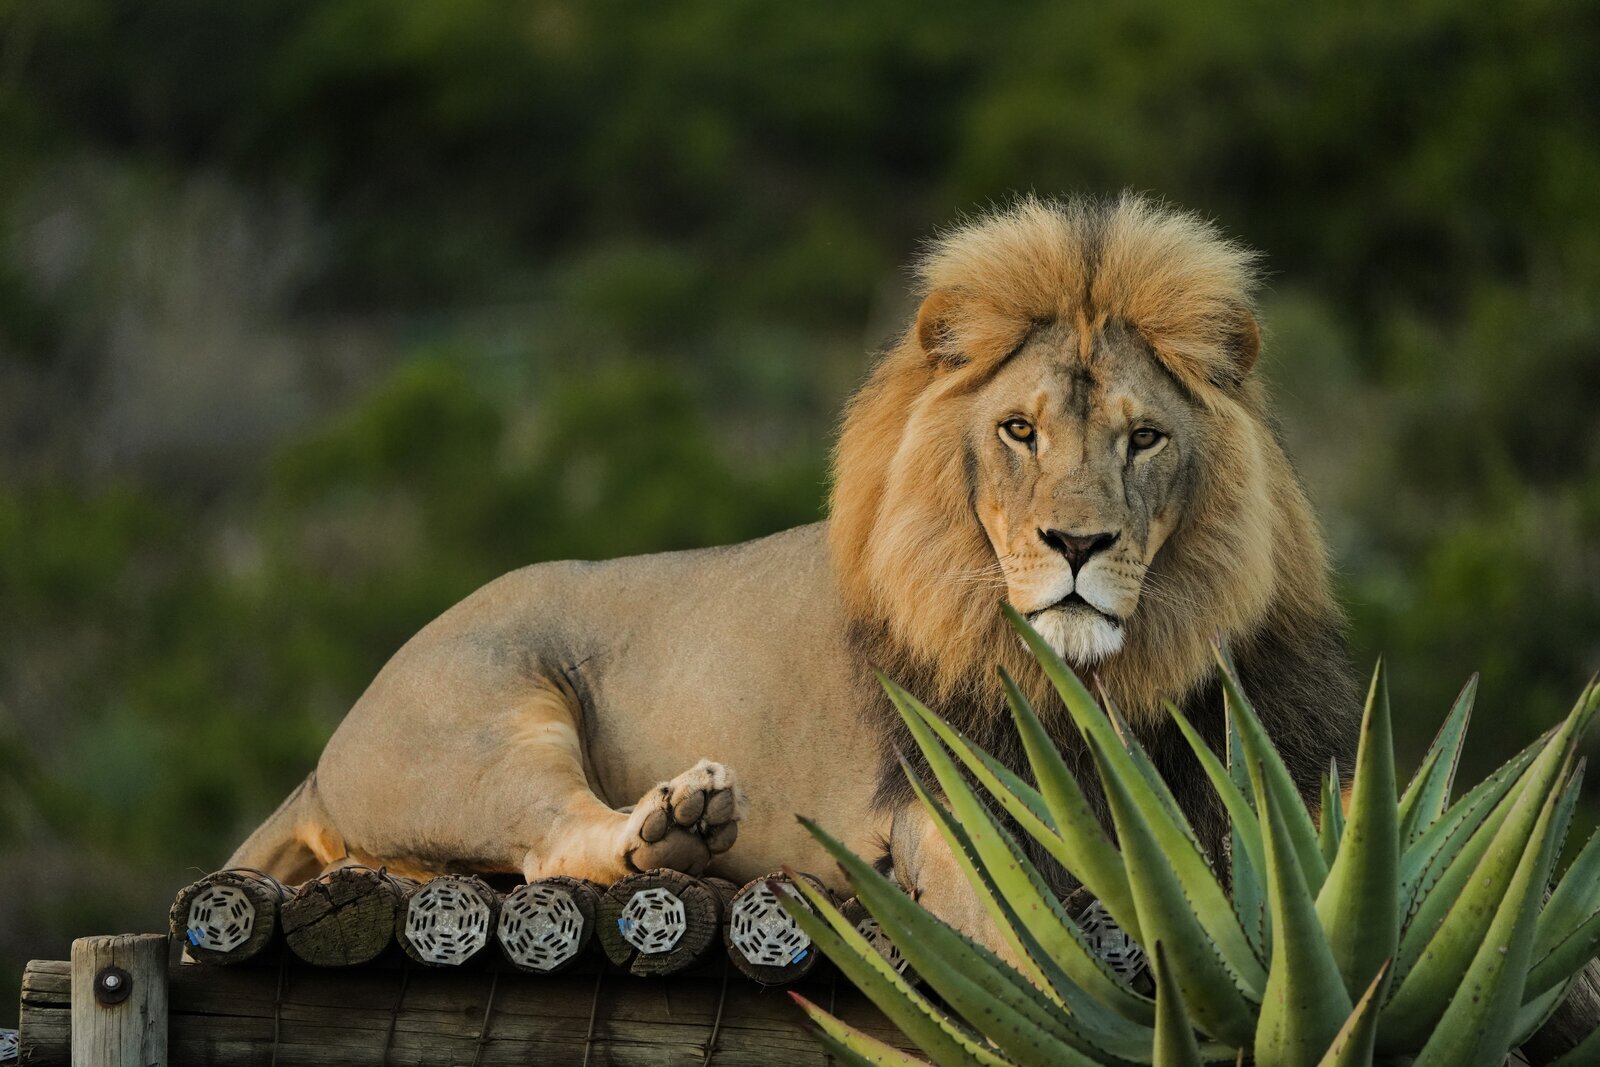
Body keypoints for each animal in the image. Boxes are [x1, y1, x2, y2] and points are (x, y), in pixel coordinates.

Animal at [230, 192, 1360, 956]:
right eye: (1018, 430)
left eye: (1144, 438)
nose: (1074, 545)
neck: (1103, 685)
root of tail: (327, 750)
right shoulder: (943, 801)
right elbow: (1015, 944)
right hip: (481, 720)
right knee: (555, 839)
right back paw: (677, 823)